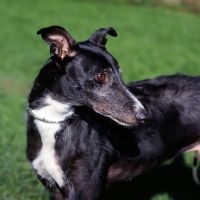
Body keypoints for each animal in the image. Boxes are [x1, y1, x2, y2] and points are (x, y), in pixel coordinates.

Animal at [26, 26, 200, 200]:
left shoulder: (85, 191)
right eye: (101, 75)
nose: (144, 117)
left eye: (120, 72)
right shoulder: (55, 190)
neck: (56, 121)